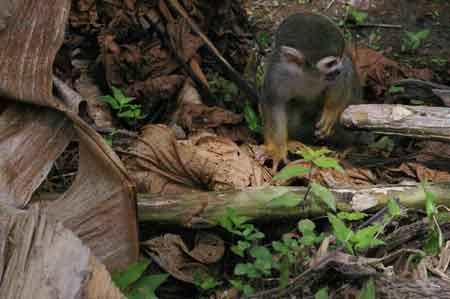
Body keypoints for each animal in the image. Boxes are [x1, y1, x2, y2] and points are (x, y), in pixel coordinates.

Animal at [260, 11, 362, 171]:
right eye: (330, 63)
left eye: (339, 57)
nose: (338, 69)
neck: (307, 73)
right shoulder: (277, 73)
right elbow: (274, 103)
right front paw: (276, 149)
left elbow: (345, 74)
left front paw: (330, 112)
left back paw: (347, 146)